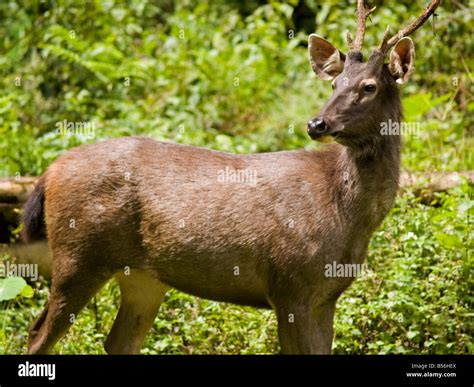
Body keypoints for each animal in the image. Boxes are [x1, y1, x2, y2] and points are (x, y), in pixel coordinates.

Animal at [21, 0, 436, 354]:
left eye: (369, 86)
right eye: (334, 84)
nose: (316, 124)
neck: (347, 216)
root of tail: (49, 172)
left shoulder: (327, 294)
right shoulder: (290, 284)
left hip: (143, 277)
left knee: (117, 341)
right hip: (78, 256)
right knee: (37, 332)